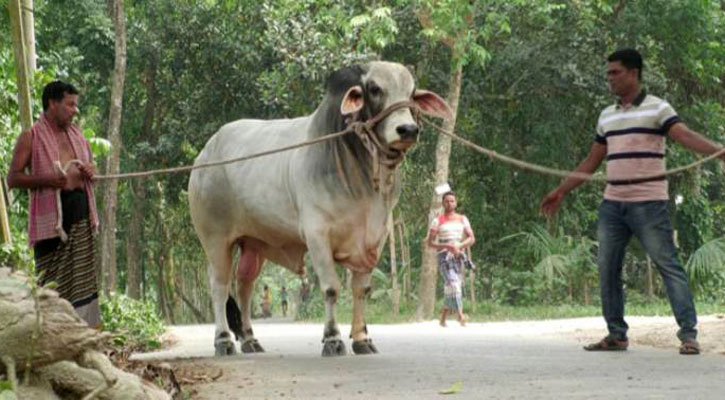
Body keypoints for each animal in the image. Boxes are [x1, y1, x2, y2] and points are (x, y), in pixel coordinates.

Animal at [188, 61, 446, 356]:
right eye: (374, 89)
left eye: (412, 92)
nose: (408, 129)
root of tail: (204, 155)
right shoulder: (317, 235)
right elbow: (332, 289)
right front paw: (332, 339)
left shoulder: (376, 238)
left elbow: (361, 290)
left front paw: (362, 339)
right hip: (215, 238)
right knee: (219, 286)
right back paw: (223, 340)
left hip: (253, 243)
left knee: (244, 286)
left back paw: (251, 339)